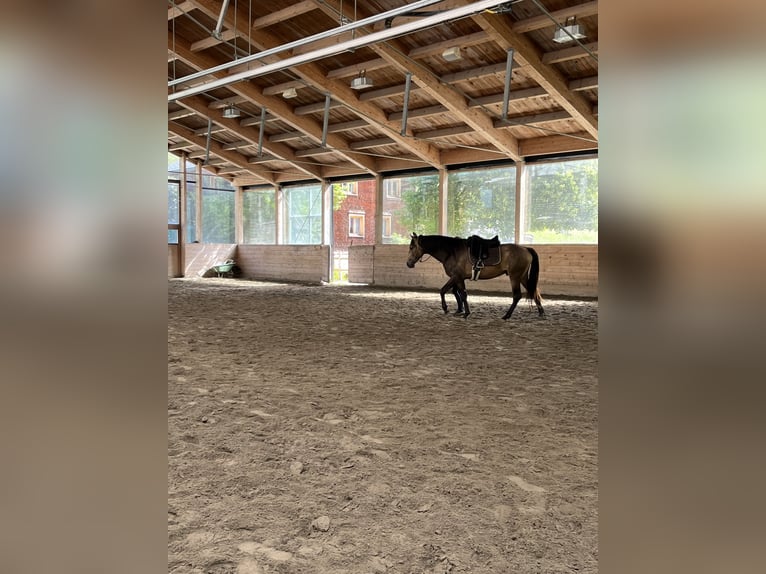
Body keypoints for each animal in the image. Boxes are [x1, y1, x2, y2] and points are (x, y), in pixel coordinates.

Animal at [408, 235, 544, 324]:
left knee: (517, 296)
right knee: (533, 292)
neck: (452, 252)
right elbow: (454, 292)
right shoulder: (457, 278)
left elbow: (453, 292)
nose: (408, 263)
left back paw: (506, 315)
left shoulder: (456, 276)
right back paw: (541, 312)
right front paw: (458, 310)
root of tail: (525, 249)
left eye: (411, 247)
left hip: (515, 277)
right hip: (522, 277)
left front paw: (458, 311)